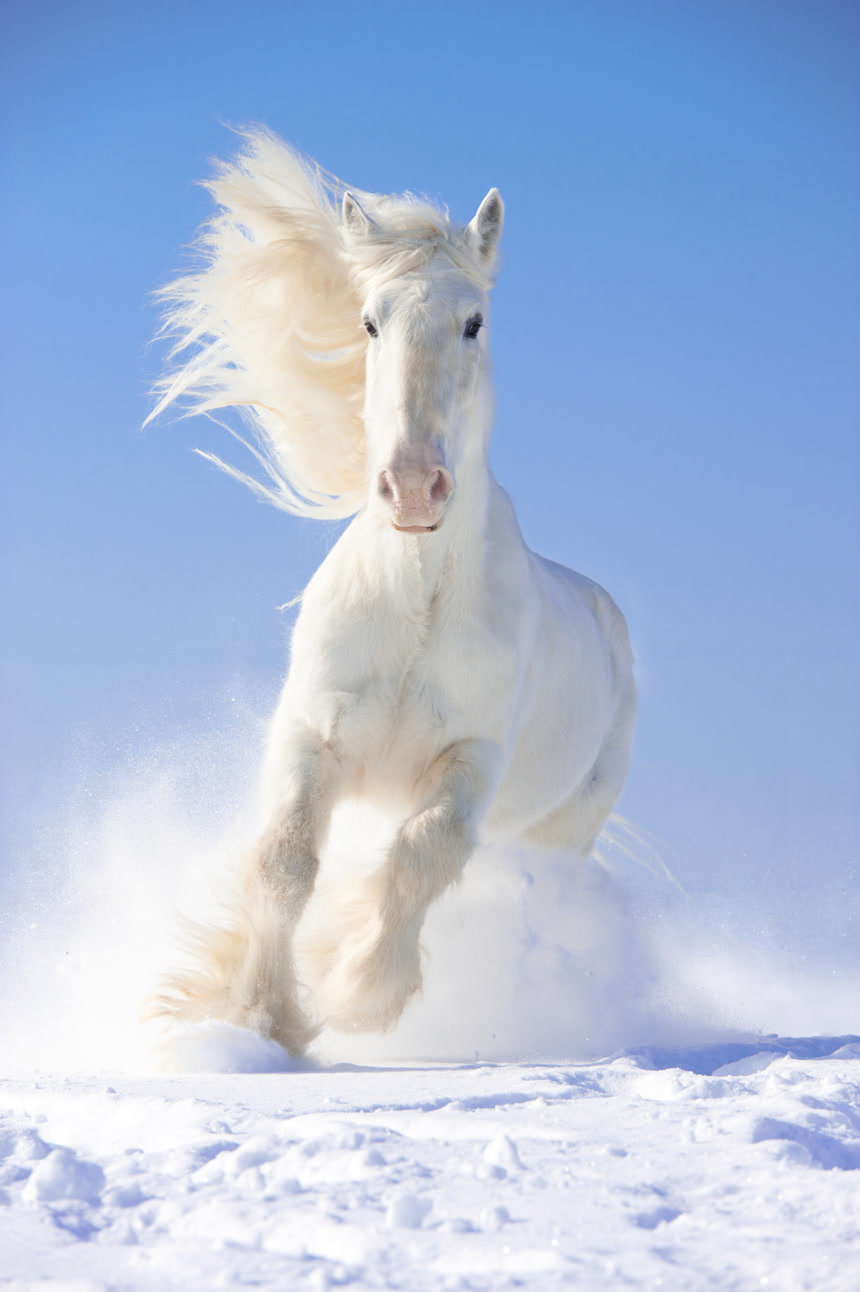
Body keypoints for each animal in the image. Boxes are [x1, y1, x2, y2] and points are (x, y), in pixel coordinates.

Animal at [147, 129, 637, 1055]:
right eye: (370, 320)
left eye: (475, 322)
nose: (413, 488)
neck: (414, 606)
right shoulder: (314, 736)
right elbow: (285, 861)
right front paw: (256, 1015)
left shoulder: (471, 762)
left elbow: (422, 854)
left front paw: (359, 994)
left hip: (560, 833)